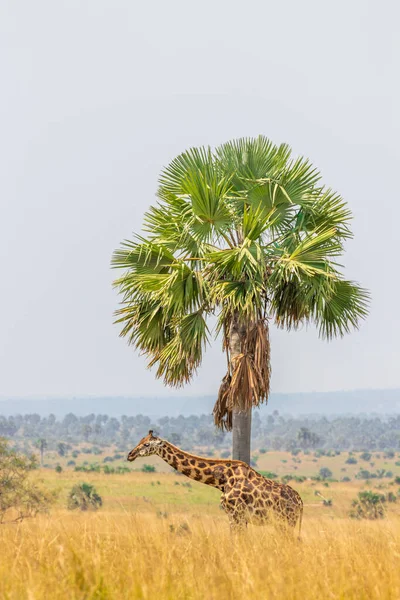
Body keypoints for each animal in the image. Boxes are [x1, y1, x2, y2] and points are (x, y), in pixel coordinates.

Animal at [126, 428, 302, 532]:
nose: (130, 454)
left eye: (146, 444)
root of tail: (300, 501)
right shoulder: (236, 516)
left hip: (287, 521)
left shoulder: (236, 514)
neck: (221, 480)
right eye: (140, 441)